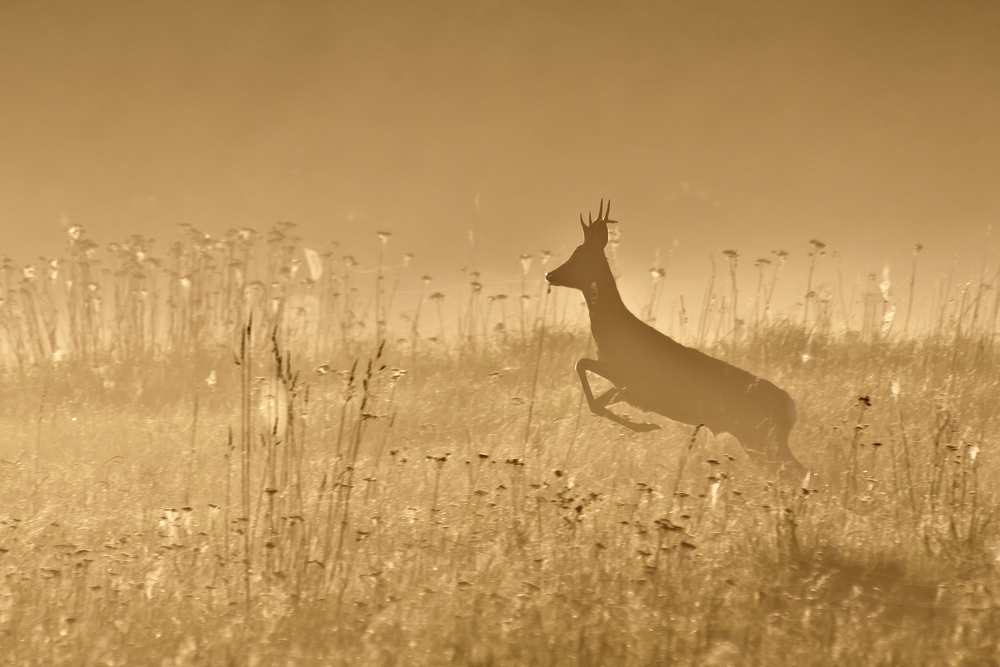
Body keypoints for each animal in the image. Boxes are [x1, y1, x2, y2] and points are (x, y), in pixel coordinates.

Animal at [548, 201, 812, 482]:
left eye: (579, 257)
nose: (549, 275)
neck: (613, 330)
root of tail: (791, 407)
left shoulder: (626, 375)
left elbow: (581, 365)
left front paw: (645, 426)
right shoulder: (625, 387)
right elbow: (597, 401)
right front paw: (642, 424)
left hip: (761, 439)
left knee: (801, 473)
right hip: (760, 441)